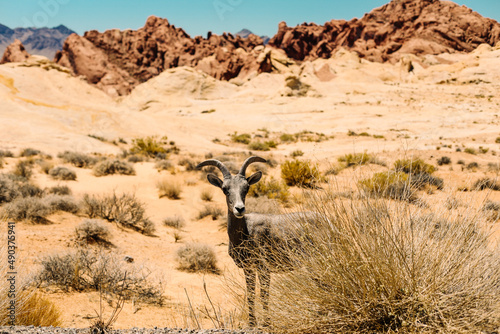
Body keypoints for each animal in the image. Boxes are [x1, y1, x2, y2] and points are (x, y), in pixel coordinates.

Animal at [197, 157, 314, 326]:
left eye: (246, 188)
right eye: (225, 189)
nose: (239, 209)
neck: (246, 232)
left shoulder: (263, 268)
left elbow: (264, 294)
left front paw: (266, 322)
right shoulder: (249, 269)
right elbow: (251, 293)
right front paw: (252, 322)